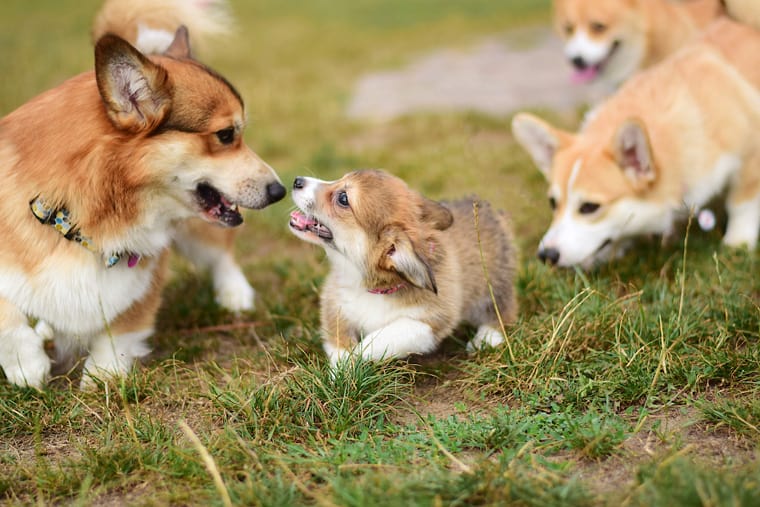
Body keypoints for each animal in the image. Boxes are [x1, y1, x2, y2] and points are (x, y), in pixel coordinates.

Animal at [288, 173, 520, 368]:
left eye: (343, 198)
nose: (297, 180)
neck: (369, 286)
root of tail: (489, 211)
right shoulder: (334, 306)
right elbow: (339, 342)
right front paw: (343, 369)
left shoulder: (430, 322)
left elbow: (383, 337)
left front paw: (355, 360)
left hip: (493, 282)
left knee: (503, 309)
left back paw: (486, 337)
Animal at [512, 15, 756, 270]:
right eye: (553, 203)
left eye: (589, 207)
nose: (546, 255)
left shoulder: (749, 154)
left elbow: (742, 202)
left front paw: (738, 243)